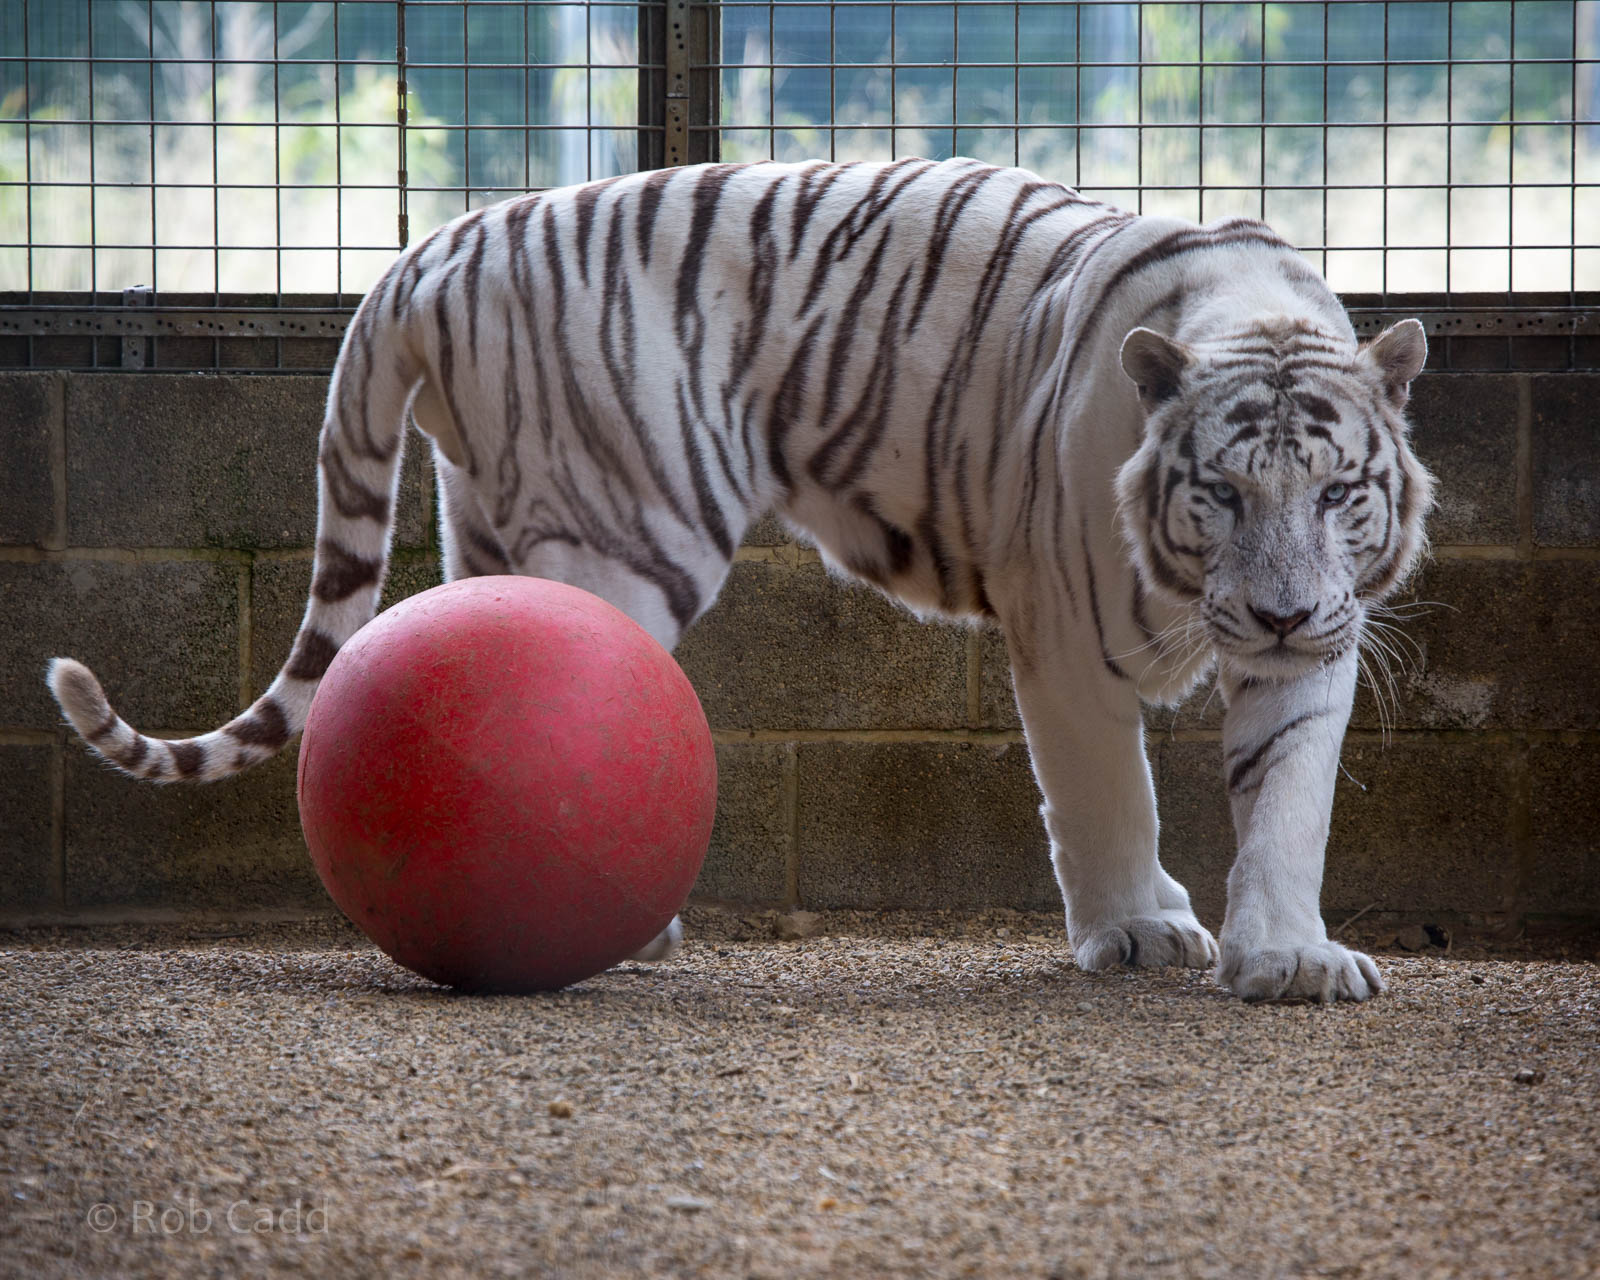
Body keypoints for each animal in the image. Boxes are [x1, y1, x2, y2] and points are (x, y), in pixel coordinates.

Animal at [47, 158, 1434, 1002]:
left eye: (1335, 493)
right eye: (1222, 494)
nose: (1277, 610)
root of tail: (434, 247)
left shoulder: (1319, 643)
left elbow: (1287, 800)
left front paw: (1285, 956)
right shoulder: (1061, 633)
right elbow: (1107, 797)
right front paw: (1136, 930)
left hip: (487, 518)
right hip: (624, 542)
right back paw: (627, 932)